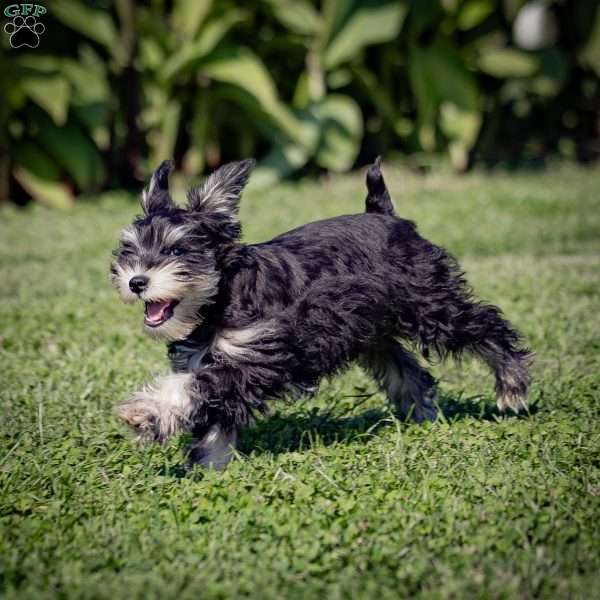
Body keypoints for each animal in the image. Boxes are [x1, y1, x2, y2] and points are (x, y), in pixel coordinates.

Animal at [110, 158, 532, 468]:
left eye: (176, 250)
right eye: (129, 250)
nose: (136, 281)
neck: (219, 299)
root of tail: (386, 216)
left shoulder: (258, 358)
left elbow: (195, 387)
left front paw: (145, 412)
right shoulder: (221, 360)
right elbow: (217, 413)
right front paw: (207, 464)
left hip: (431, 307)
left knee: (485, 327)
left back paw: (512, 385)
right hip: (372, 333)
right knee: (409, 373)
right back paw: (425, 418)